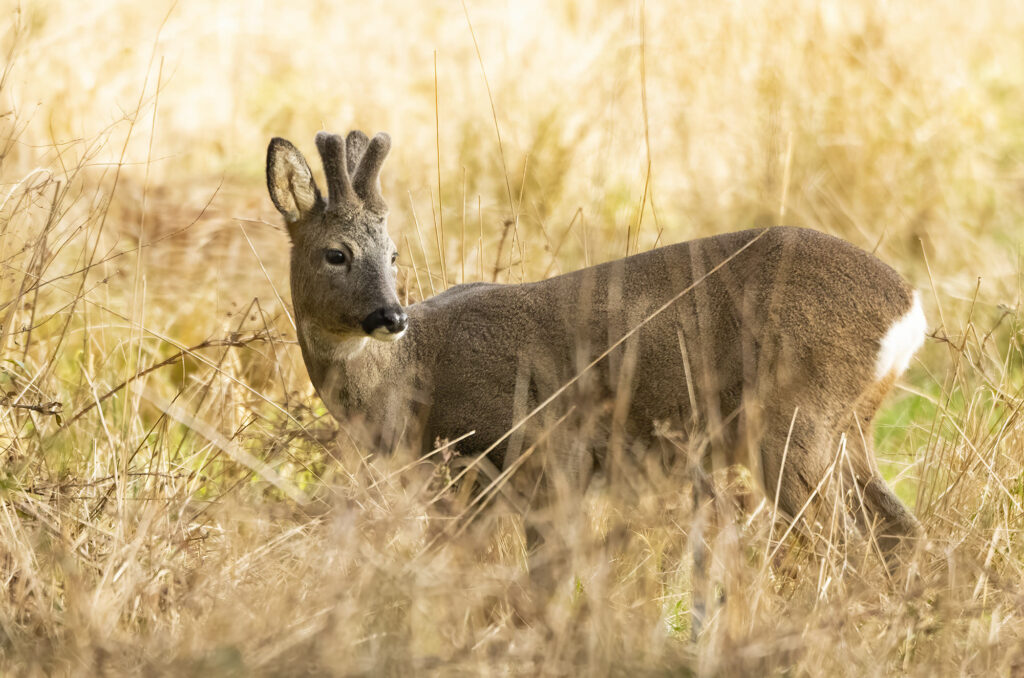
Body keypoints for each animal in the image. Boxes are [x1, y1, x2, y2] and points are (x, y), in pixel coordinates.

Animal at [266, 129, 929, 557]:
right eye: (337, 253)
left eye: (394, 253)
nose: (390, 315)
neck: (411, 375)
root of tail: (908, 307)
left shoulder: (540, 460)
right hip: (850, 426)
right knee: (900, 532)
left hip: (794, 419)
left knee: (843, 544)